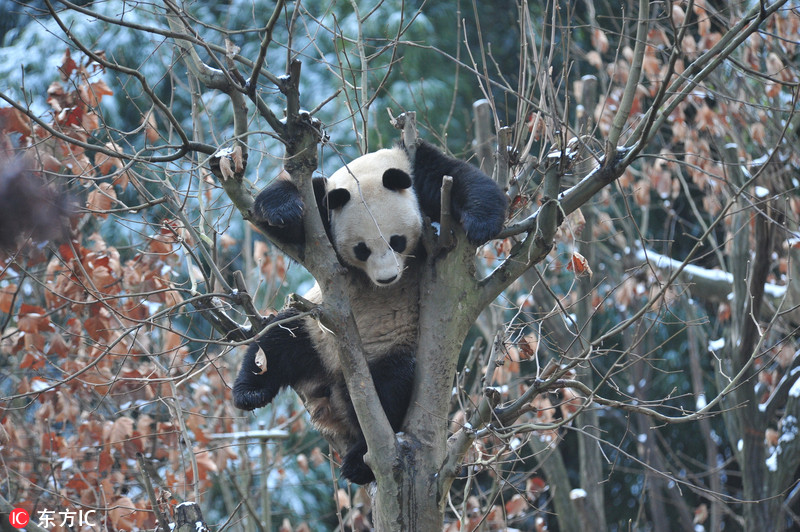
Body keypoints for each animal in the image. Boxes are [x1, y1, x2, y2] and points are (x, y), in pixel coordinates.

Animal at [231, 139, 506, 484]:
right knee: (276, 342)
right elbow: (293, 225)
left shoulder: (422, 171)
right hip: (315, 328)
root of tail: (333, 378)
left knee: (391, 387)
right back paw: (249, 393)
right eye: (362, 249)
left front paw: (482, 224)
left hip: (391, 347)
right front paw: (283, 210)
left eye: (396, 241)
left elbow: (463, 179)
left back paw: (359, 462)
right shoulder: (322, 217)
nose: (387, 278)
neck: (370, 171)